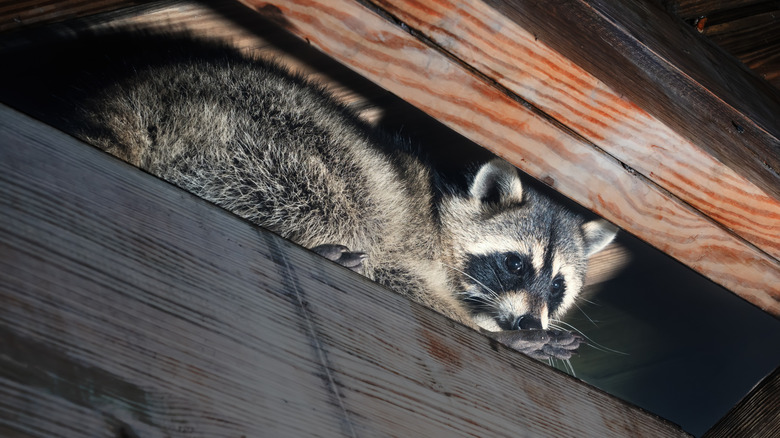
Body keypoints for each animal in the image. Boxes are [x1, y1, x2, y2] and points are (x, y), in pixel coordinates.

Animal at [0, 31, 616, 361]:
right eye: (514, 264)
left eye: (557, 286)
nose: (529, 324)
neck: (441, 216)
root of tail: (136, 94)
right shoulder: (408, 242)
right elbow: (398, 274)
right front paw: (487, 330)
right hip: (260, 137)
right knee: (333, 194)